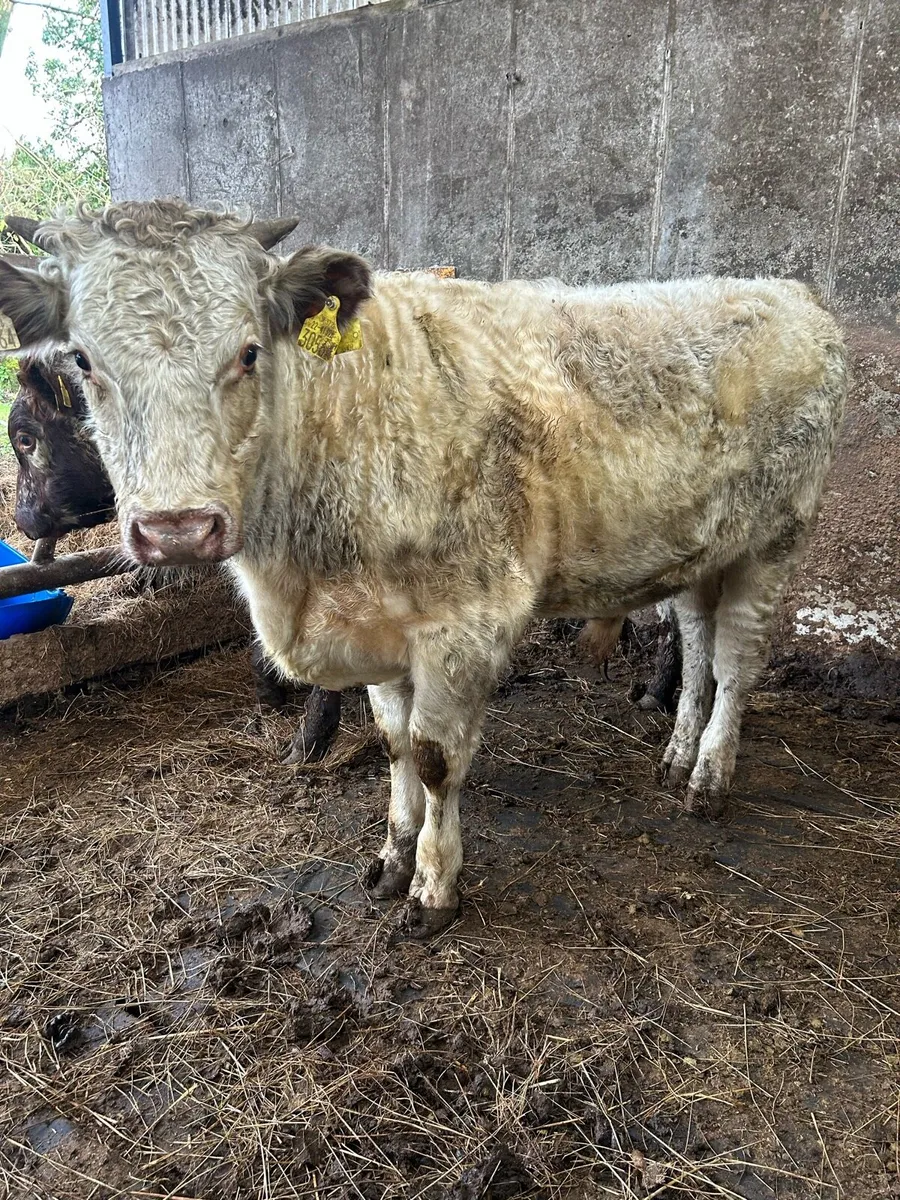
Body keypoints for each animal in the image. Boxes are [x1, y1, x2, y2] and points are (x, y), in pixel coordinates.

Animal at [0, 201, 847, 936]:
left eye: (248, 351)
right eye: (84, 360)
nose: (175, 529)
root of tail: (792, 292)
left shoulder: (465, 625)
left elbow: (437, 758)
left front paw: (435, 887)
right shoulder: (376, 629)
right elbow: (394, 742)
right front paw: (391, 856)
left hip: (775, 542)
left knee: (736, 664)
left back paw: (708, 778)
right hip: (709, 548)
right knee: (699, 645)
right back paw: (676, 753)